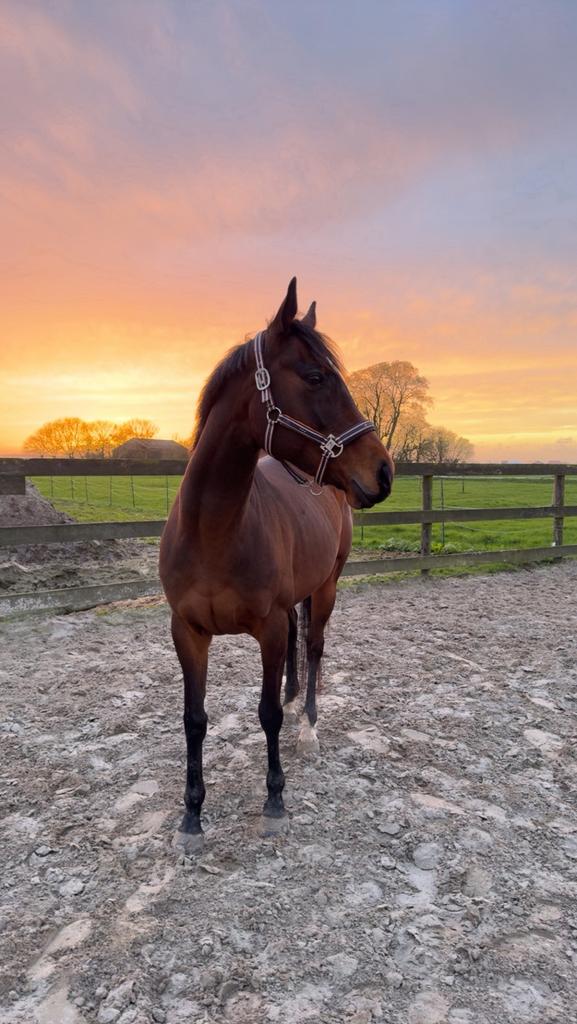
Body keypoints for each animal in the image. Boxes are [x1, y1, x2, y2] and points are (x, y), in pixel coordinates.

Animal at [159, 279, 394, 850]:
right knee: (295, 640)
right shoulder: (187, 632)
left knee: (312, 648)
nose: (384, 471)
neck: (215, 532)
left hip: (327, 586)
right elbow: (193, 719)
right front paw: (192, 816)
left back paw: (306, 727)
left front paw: (274, 801)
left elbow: (264, 712)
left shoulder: (263, 628)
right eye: (315, 377)